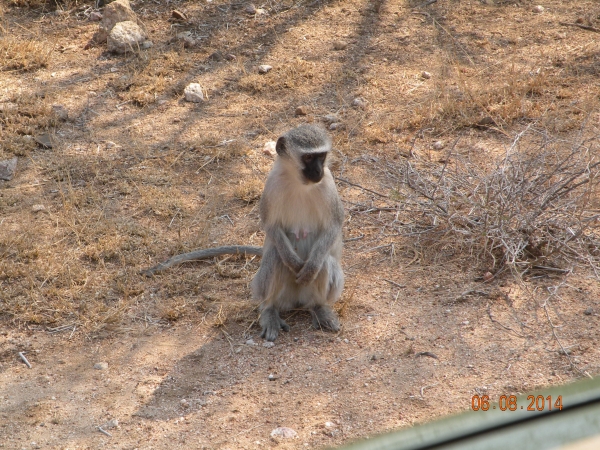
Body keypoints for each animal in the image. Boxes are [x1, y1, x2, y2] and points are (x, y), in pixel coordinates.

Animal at [142, 123, 344, 342]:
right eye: (308, 158)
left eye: (321, 156)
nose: (318, 171)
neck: (300, 183)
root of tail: (297, 301)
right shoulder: (272, 184)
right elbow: (271, 226)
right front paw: (293, 263)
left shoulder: (328, 184)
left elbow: (334, 226)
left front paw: (308, 269)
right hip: (274, 292)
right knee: (275, 257)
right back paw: (269, 311)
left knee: (323, 262)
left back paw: (319, 307)